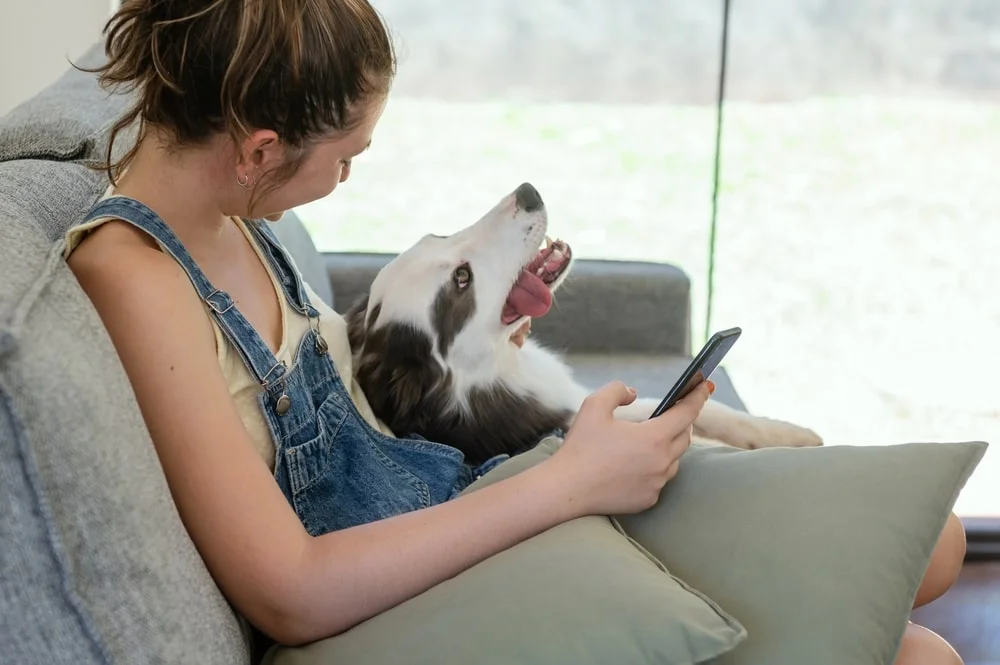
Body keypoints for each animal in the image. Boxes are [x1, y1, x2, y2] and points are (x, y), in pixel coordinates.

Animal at [348, 179, 824, 464]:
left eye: (437, 235)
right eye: (461, 279)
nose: (528, 191)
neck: (498, 366)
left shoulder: (583, 400)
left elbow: (716, 409)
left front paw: (791, 433)